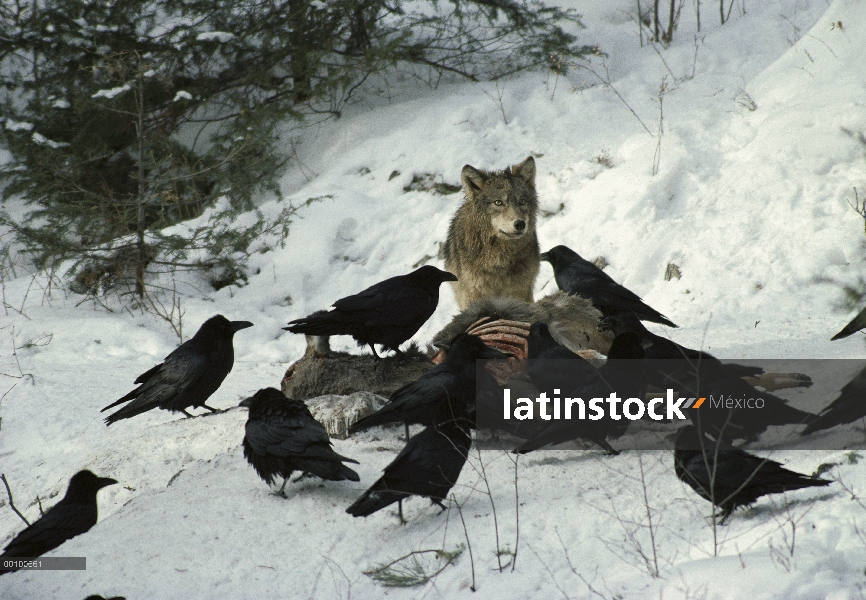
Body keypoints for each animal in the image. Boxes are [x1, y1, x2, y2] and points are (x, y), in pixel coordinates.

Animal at [442, 155, 536, 310]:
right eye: (498, 202)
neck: (499, 259)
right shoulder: (472, 295)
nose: (520, 224)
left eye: (522, 201)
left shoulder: (521, 290)